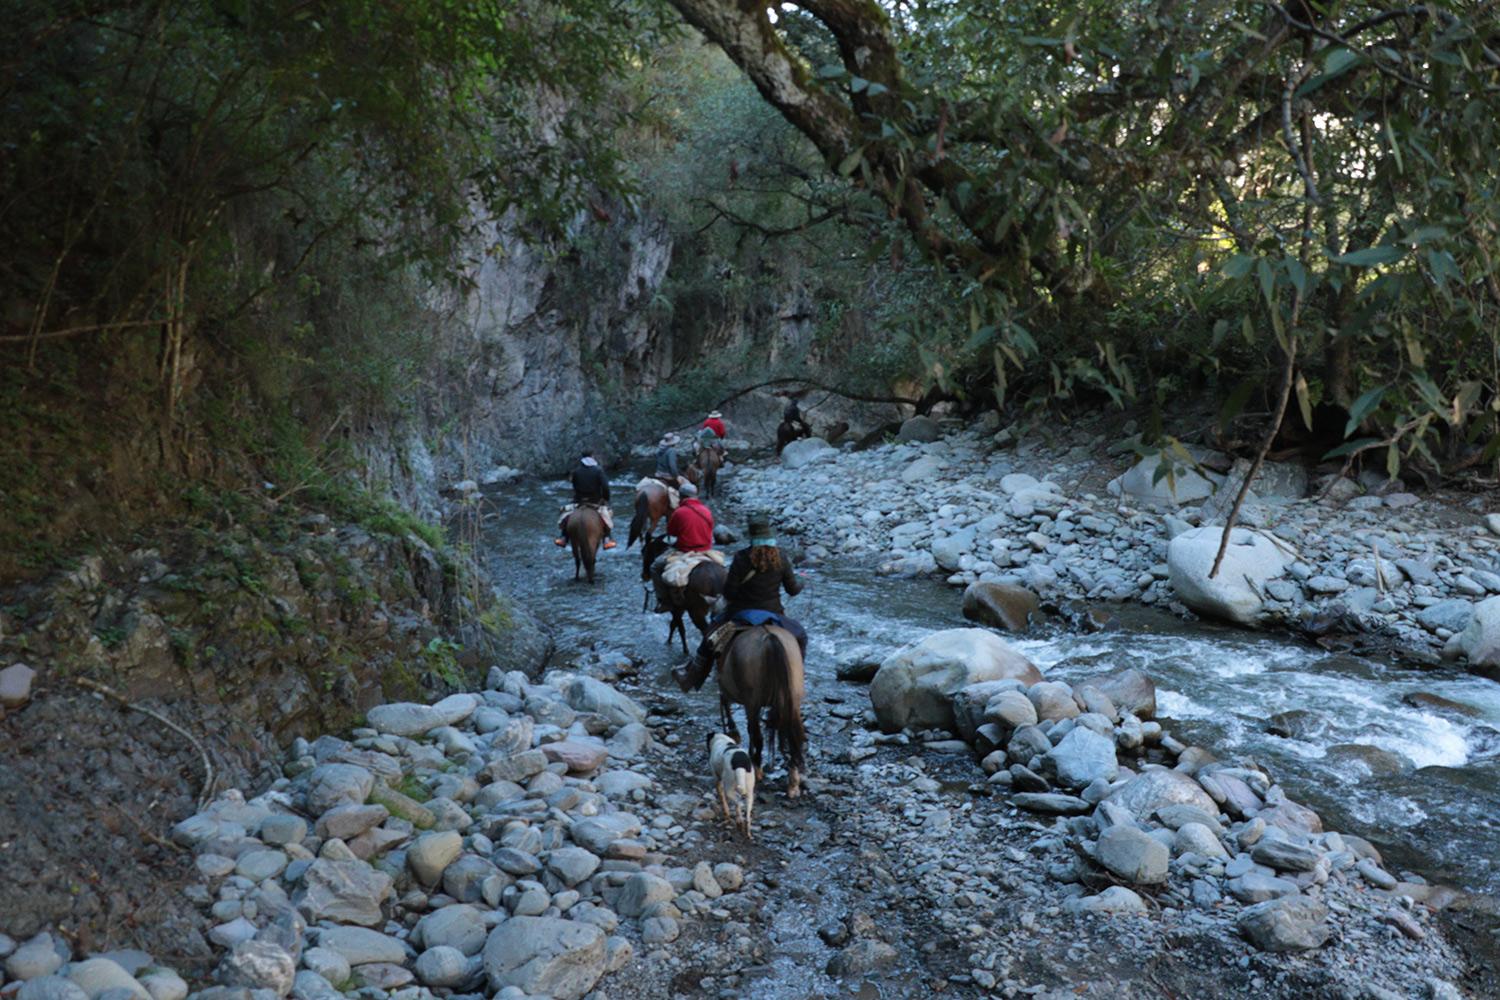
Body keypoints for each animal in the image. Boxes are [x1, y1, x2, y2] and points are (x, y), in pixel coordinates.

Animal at [717, 626, 804, 797]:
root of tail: (770, 637)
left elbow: (726, 703)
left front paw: (733, 731)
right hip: (792, 700)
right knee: (793, 738)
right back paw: (793, 784)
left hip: (752, 702)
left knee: (757, 735)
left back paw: (756, 768)